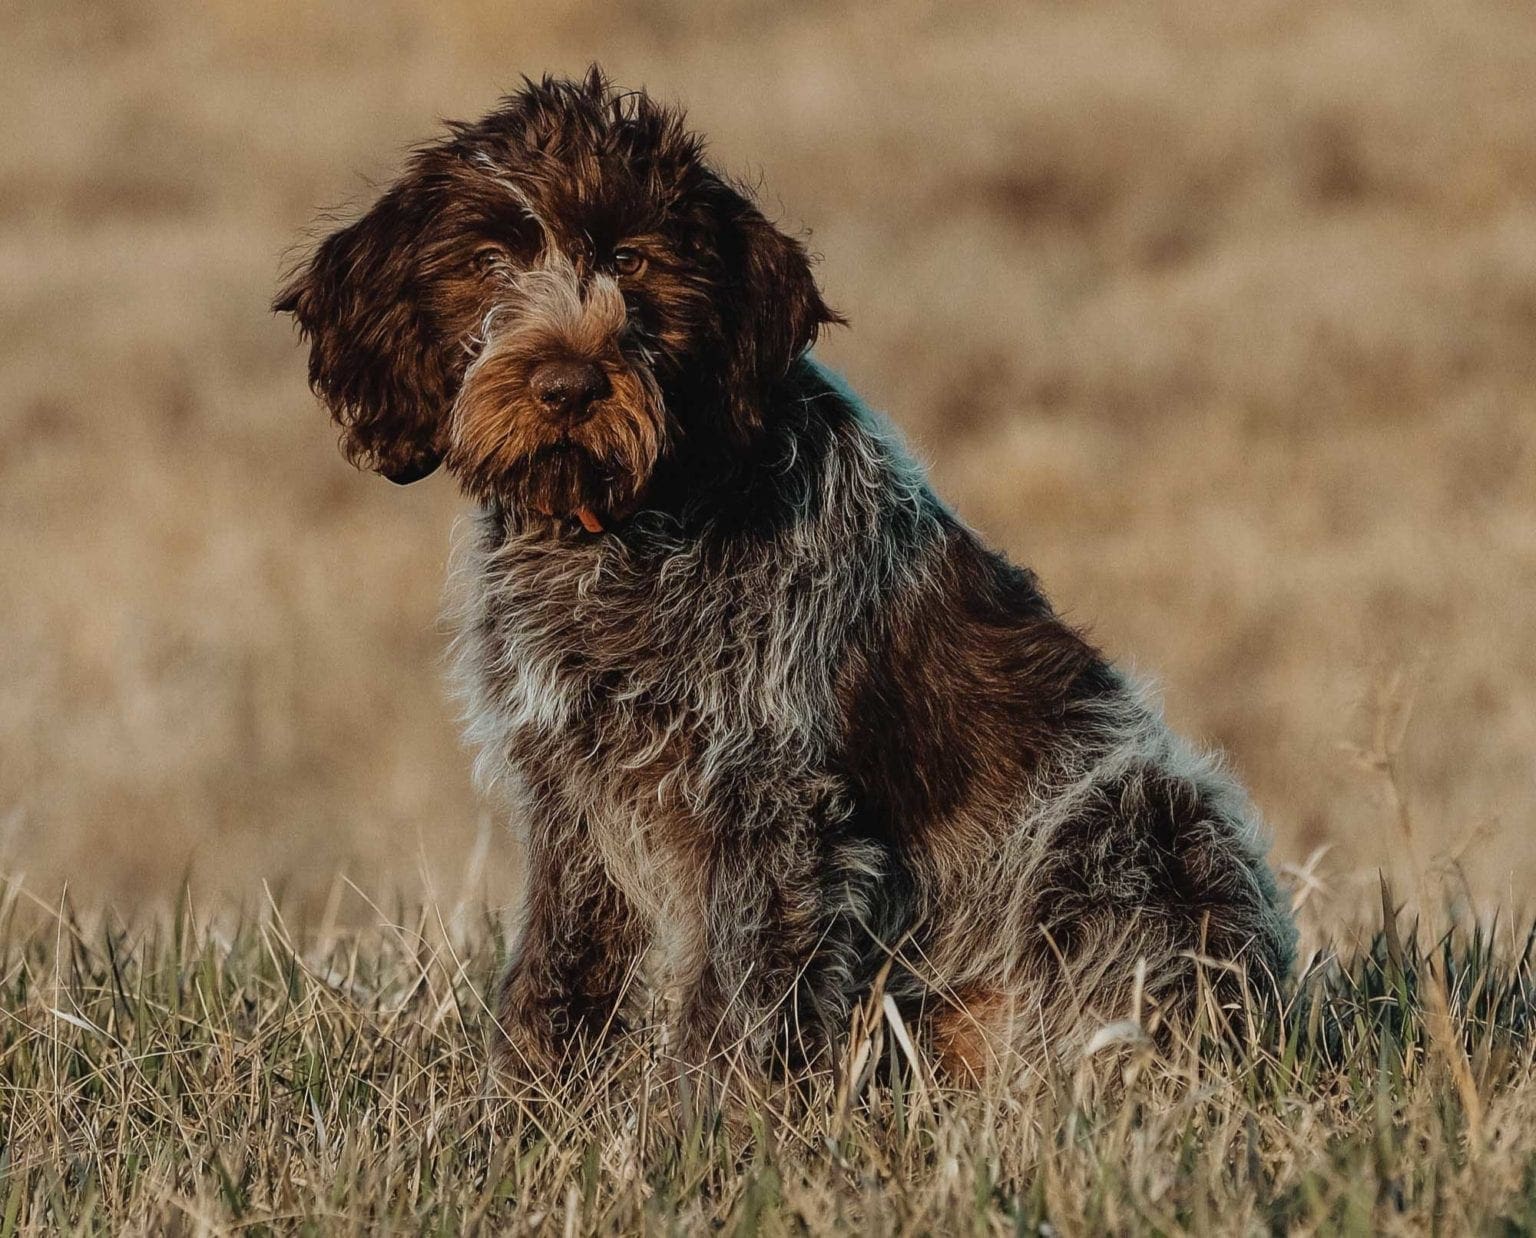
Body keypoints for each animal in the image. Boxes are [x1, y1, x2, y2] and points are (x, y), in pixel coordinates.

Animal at [279, 70, 1296, 1087]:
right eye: (488, 259)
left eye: (634, 260)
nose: (569, 386)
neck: (625, 526)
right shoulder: (573, 792)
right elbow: (558, 975)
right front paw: (526, 1106)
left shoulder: (771, 809)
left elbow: (729, 1009)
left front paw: (701, 1124)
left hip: (1135, 818)